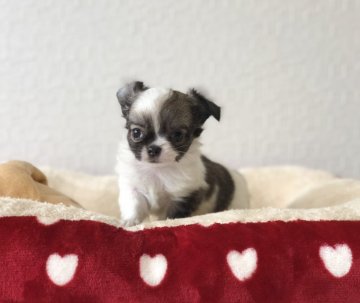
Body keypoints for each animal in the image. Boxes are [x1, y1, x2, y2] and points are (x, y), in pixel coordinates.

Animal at [116, 82, 249, 227]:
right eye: (136, 133)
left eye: (178, 135)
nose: (154, 149)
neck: (158, 170)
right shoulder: (133, 188)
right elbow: (134, 205)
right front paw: (130, 221)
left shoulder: (183, 196)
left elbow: (172, 217)